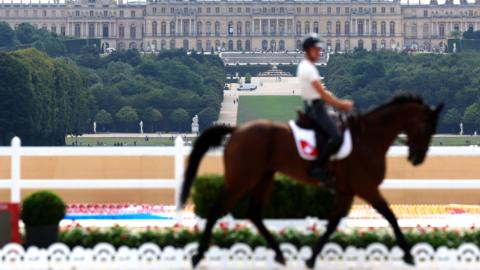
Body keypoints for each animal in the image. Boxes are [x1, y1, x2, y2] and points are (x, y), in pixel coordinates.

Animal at [179, 94, 442, 268]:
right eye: (426, 127)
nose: (418, 157)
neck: (367, 138)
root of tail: (235, 131)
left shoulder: (348, 190)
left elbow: (334, 223)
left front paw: (311, 257)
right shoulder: (365, 187)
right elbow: (390, 216)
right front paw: (409, 255)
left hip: (262, 177)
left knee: (253, 213)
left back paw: (279, 255)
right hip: (243, 178)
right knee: (218, 209)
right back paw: (198, 256)